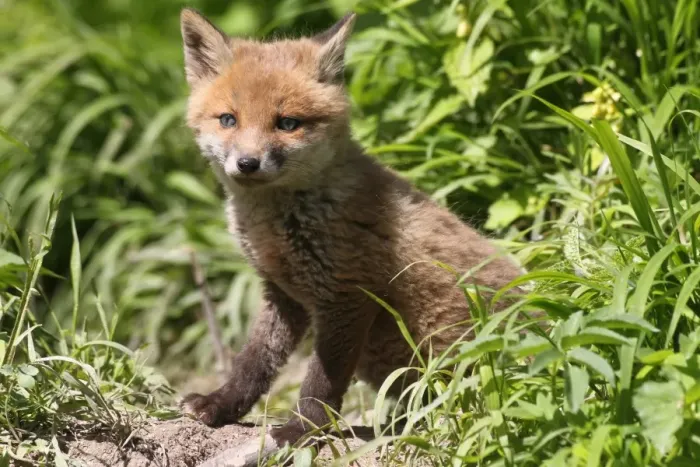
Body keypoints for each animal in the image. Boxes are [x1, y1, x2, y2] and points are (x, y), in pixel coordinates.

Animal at [179, 7, 522, 453]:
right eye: (228, 120)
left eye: (287, 123)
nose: (248, 163)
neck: (280, 229)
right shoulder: (284, 295)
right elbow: (253, 363)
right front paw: (221, 404)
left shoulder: (348, 295)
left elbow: (320, 385)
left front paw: (300, 431)